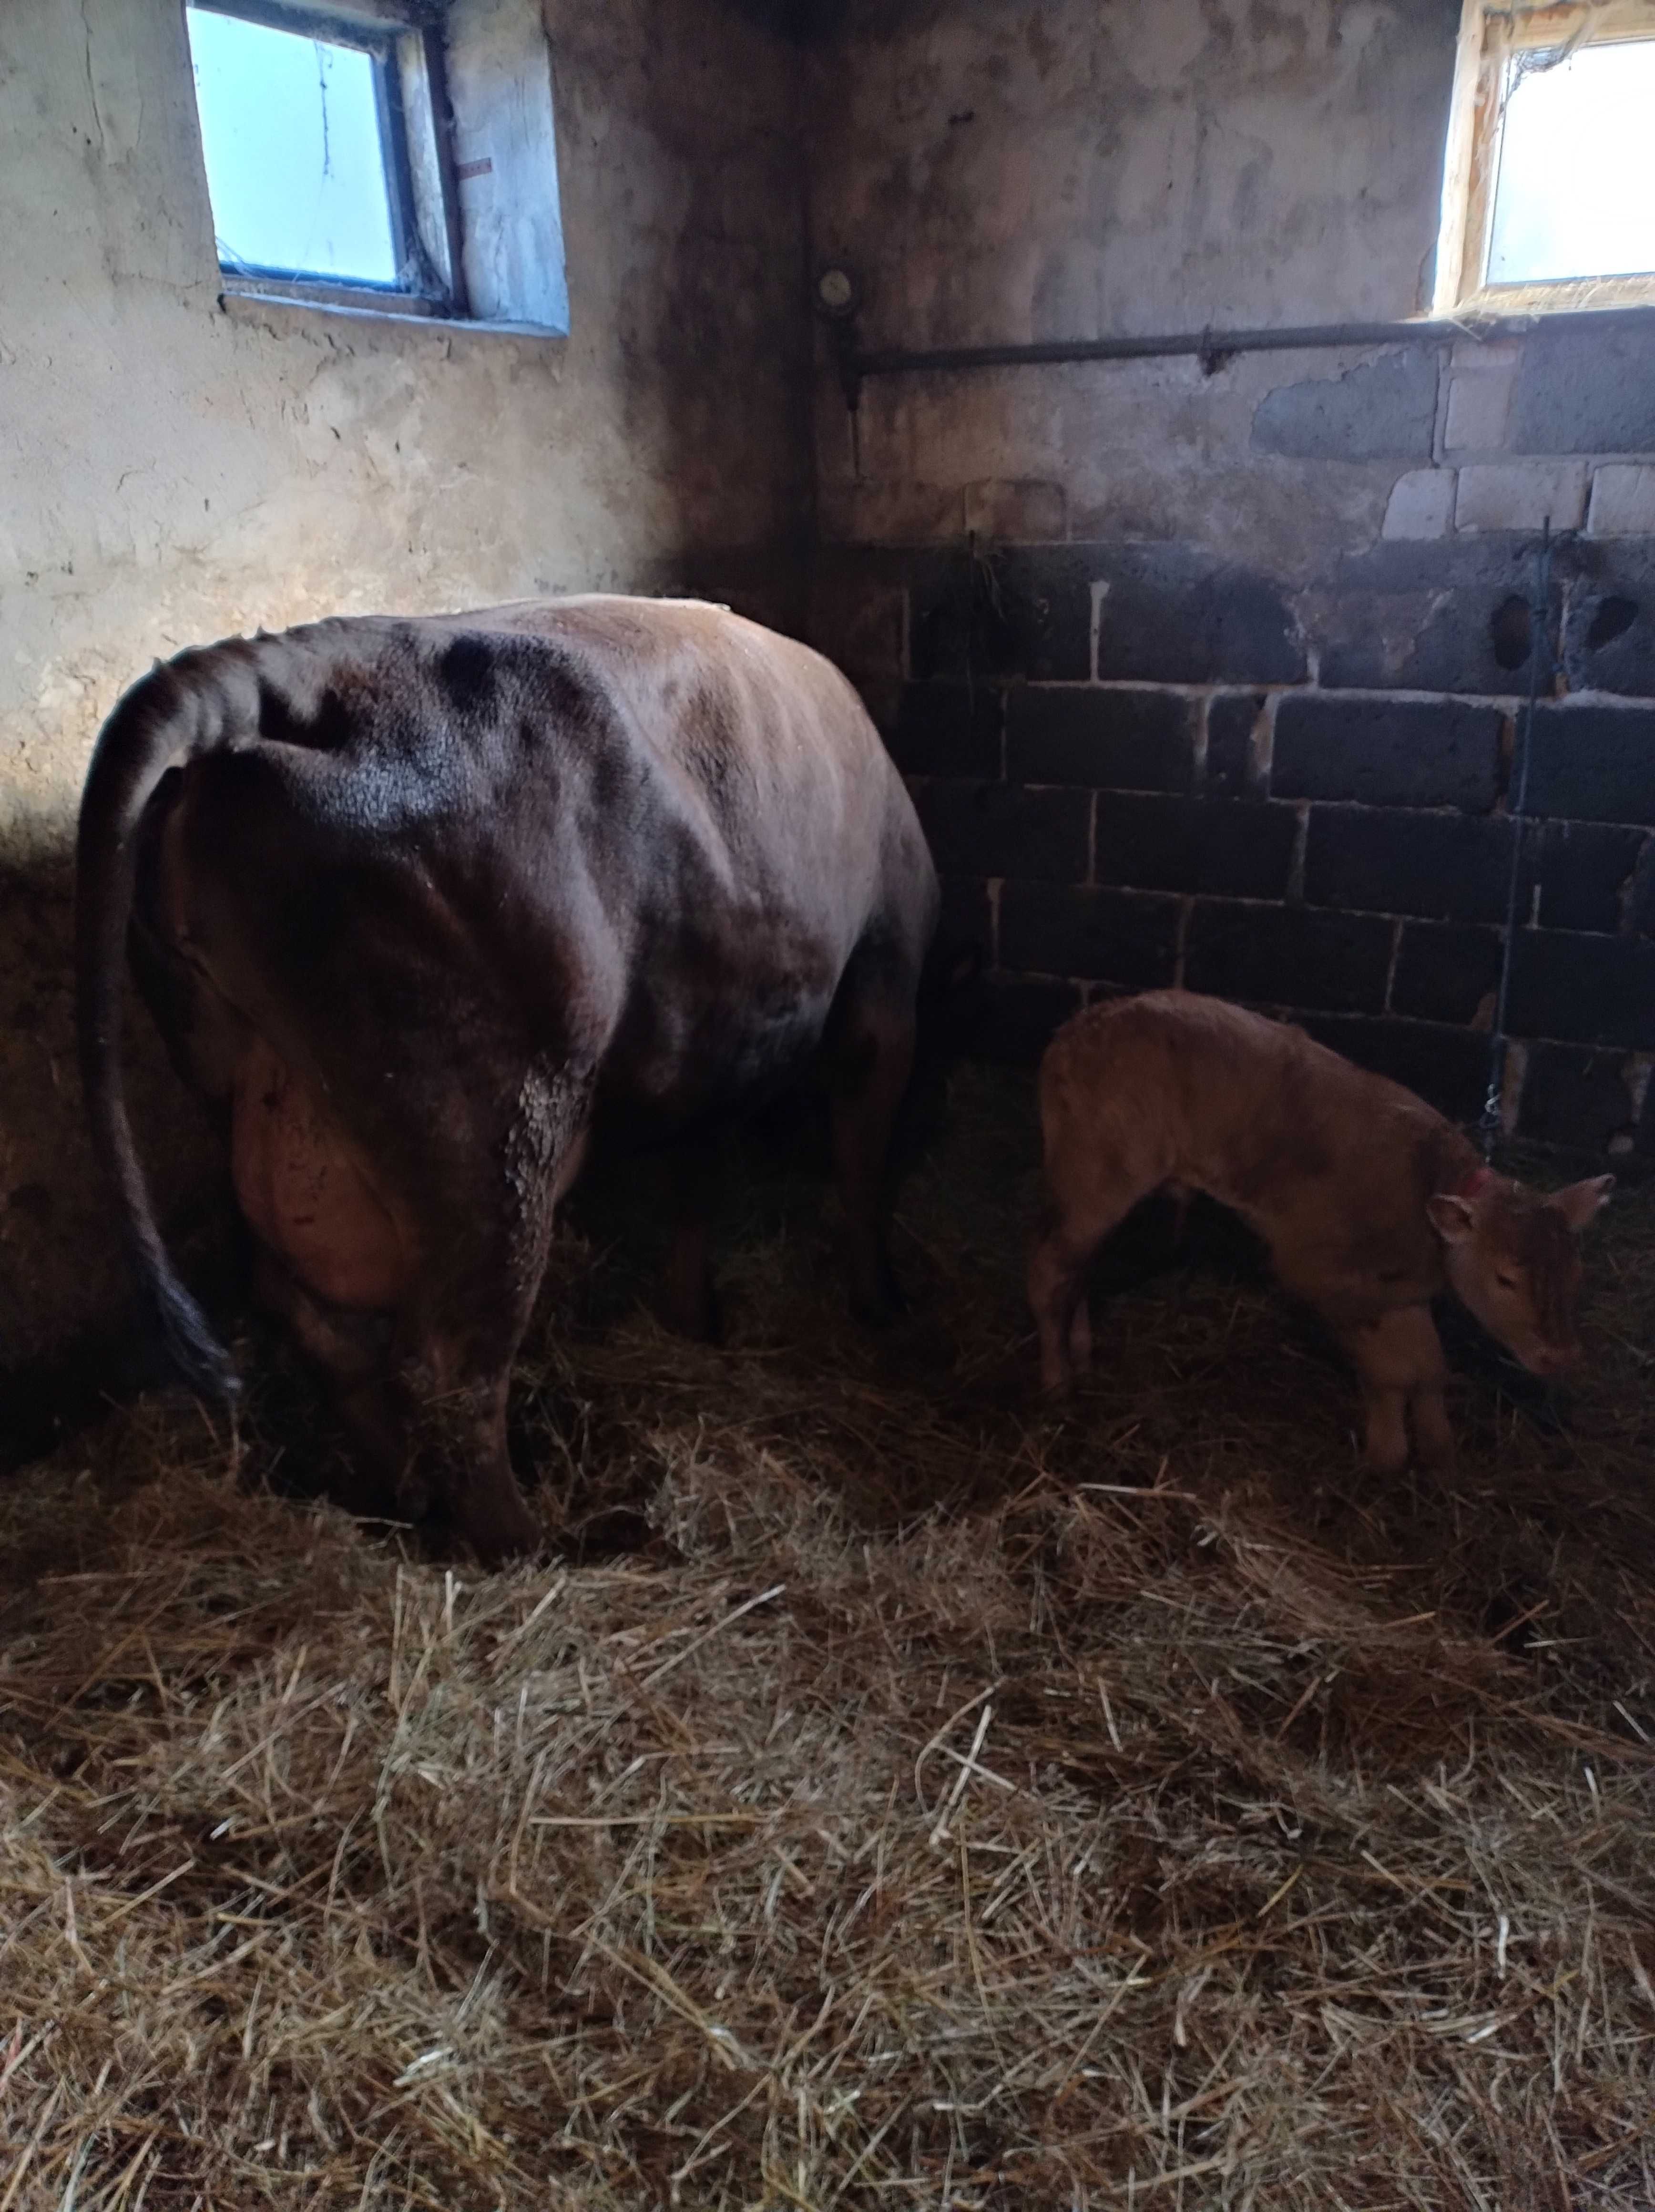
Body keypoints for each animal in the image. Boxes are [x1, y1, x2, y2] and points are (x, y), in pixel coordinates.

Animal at [81, 588, 929, 1557]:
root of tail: (298, 667)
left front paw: (697, 1316)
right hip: (492, 1117)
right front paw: (878, 1302)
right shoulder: (886, 975)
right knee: (447, 1364)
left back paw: (408, 1497)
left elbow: (694, 1176)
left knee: (315, 1320)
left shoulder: (707, 1041)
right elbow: (860, 1158)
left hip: (246, 1089)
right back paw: (537, 1543)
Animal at [1026, 995, 1611, 1477]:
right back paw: (1055, 1380)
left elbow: (1429, 1368)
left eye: (1576, 1273)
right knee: (1051, 1270)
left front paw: (1439, 1450)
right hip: (1099, 1170)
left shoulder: (1400, 1291)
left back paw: (1081, 1354)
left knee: (1079, 1265)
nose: (1561, 1356)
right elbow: (1390, 1372)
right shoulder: (1322, 1275)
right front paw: (1385, 1456)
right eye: (1506, 1278)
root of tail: (1074, 1031)